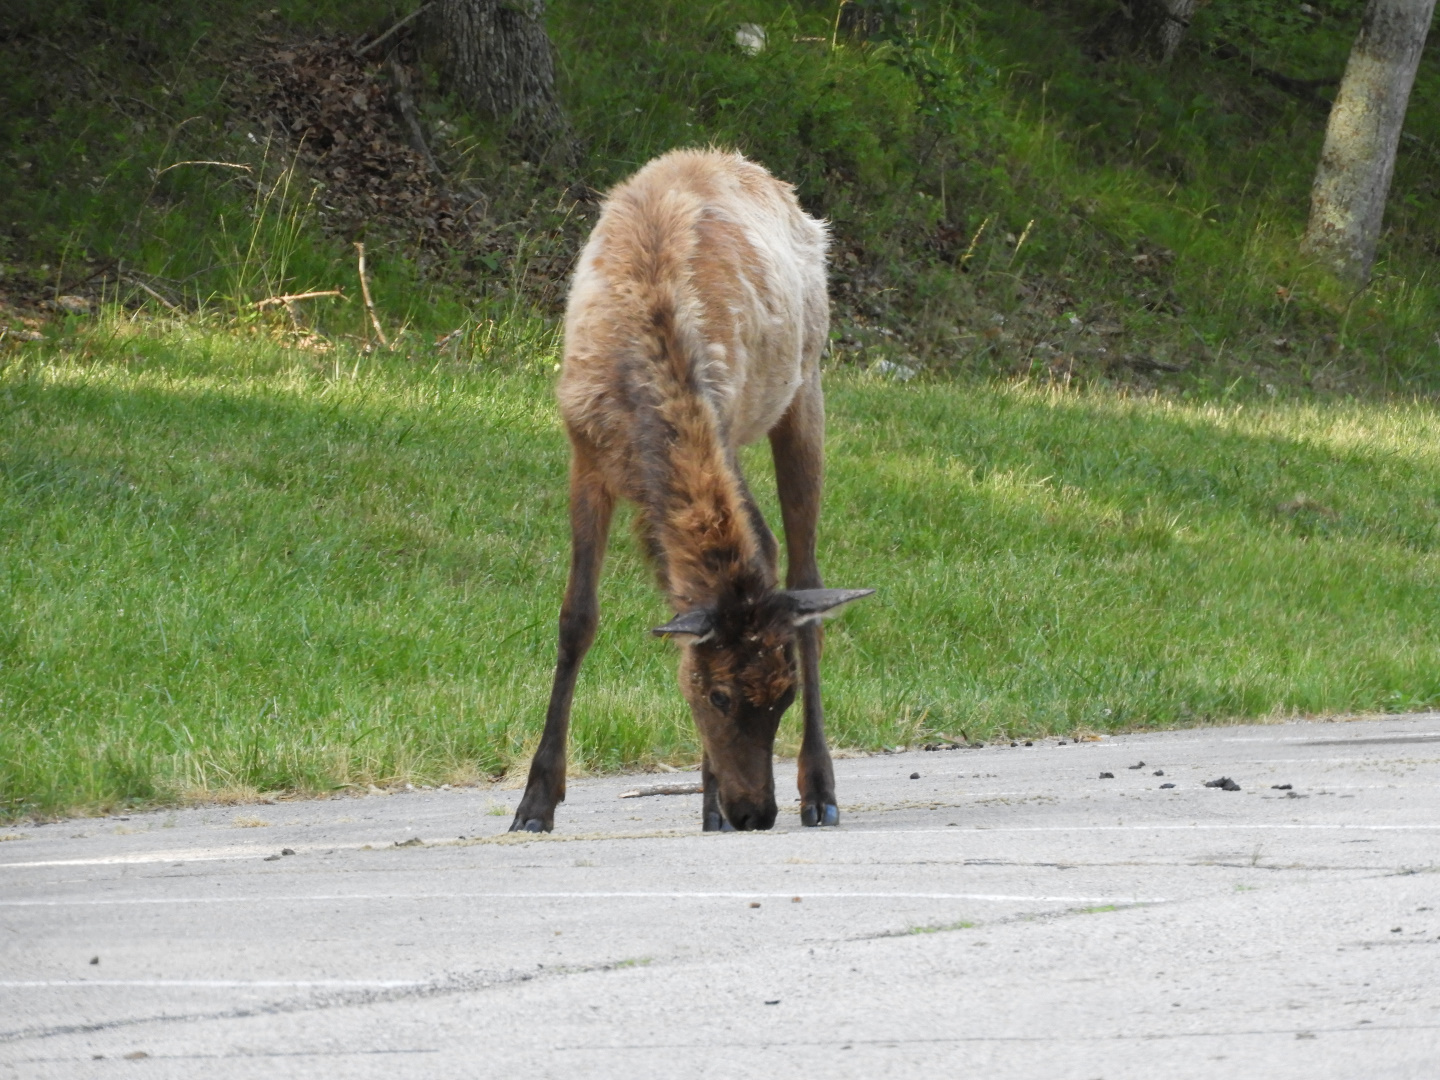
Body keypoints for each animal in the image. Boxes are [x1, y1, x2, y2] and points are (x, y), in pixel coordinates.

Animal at [509, 148, 873, 835]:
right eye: (717, 693)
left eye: (784, 695)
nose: (755, 812)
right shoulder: (584, 454)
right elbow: (576, 619)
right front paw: (535, 802)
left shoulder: (724, 425)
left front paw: (711, 807)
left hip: (805, 384)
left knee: (804, 574)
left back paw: (820, 790)